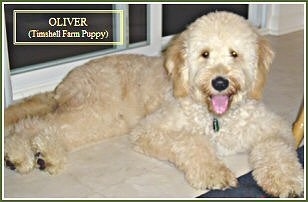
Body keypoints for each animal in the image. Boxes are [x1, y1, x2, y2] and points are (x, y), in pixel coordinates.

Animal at [4, 11, 304, 197]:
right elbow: (192, 142)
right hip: (96, 110)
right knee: (36, 124)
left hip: (102, 121)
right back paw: (20, 154)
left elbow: (278, 149)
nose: (220, 82)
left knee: (46, 127)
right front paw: (214, 172)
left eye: (235, 54)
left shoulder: (273, 128)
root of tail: (63, 84)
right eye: (204, 54)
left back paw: (42, 155)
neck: (217, 119)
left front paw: (286, 180)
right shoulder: (151, 129)